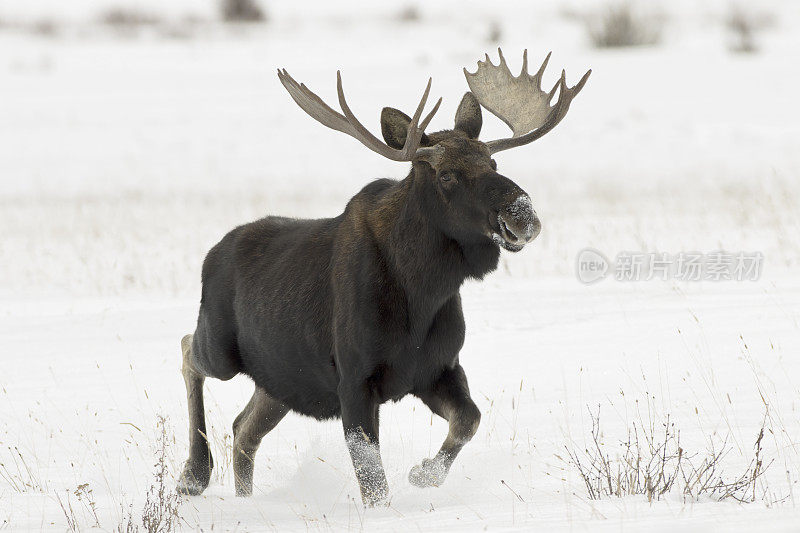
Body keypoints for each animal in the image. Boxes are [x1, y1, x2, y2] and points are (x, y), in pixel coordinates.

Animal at [177, 48, 588, 502]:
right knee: (188, 351)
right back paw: (192, 475)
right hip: (222, 348)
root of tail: (211, 255)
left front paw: (424, 474)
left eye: (493, 161)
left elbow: (469, 420)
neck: (423, 291)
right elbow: (372, 476)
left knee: (244, 427)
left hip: (281, 378)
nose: (522, 215)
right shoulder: (354, 379)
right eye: (446, 175)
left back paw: (243, 497)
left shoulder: (437, 367)